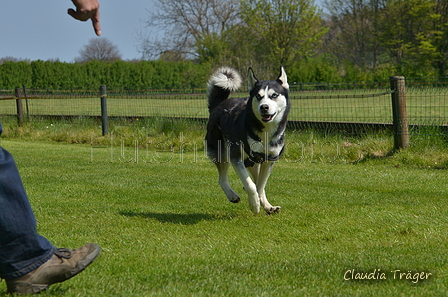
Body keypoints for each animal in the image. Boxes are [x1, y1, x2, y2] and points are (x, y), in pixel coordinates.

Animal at [206, 67, 290, 214]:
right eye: (258, 96)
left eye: (274, 95)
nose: (264, 107)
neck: (265, 132)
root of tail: (218, 105)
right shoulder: (236, 157)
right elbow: (251, 185)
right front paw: (254, 205)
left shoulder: (269, 160)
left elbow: (260, 186)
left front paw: (260, 202)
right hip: (222, 153)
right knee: (222, 179)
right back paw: (232, 195)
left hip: (253, 163)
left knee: (256, 181)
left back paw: (268, 206)